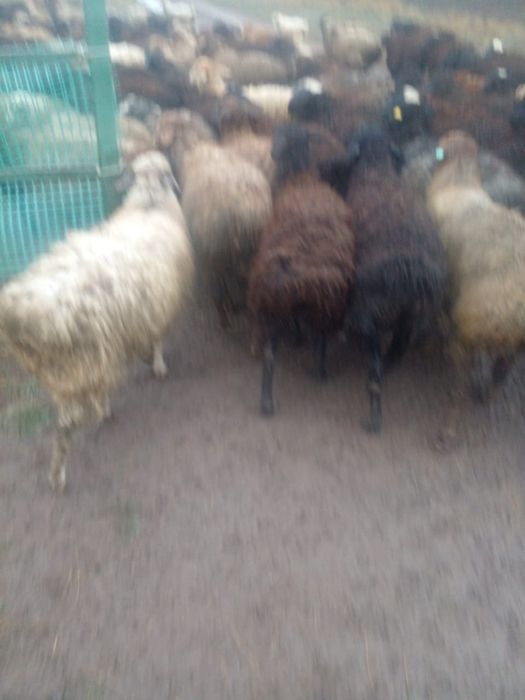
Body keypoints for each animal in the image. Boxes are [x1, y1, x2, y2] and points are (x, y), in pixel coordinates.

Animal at [0, 151, 195, 492]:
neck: (149, 202)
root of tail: (25, 315)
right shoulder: (163, 303)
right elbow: (159, 338)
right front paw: (158, 363)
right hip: (86, 360)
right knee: (68, 424)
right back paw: (62, 471)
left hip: (64, 371)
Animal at [248, 122, 355, 415]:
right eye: (276, 135)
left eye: (291, 138)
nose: (273, 152)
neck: (303, 178)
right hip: (326, 303)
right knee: (321, 339)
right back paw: (320, 371)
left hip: (273, 307)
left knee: (269, 355)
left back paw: (266, 401)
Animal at [343, 125, 449, 432]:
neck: (376, 166)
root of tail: (410, 276)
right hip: (417, 318)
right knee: (398, 350)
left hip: (368, 311)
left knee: (375, 362)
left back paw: (374, 415)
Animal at [426, 130, 525, 448]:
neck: (459, 180)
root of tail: (512, 316)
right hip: (512, 344)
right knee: (503, 370)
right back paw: (488, 396)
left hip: (466, 334)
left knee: (458, 390)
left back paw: (446, 433)